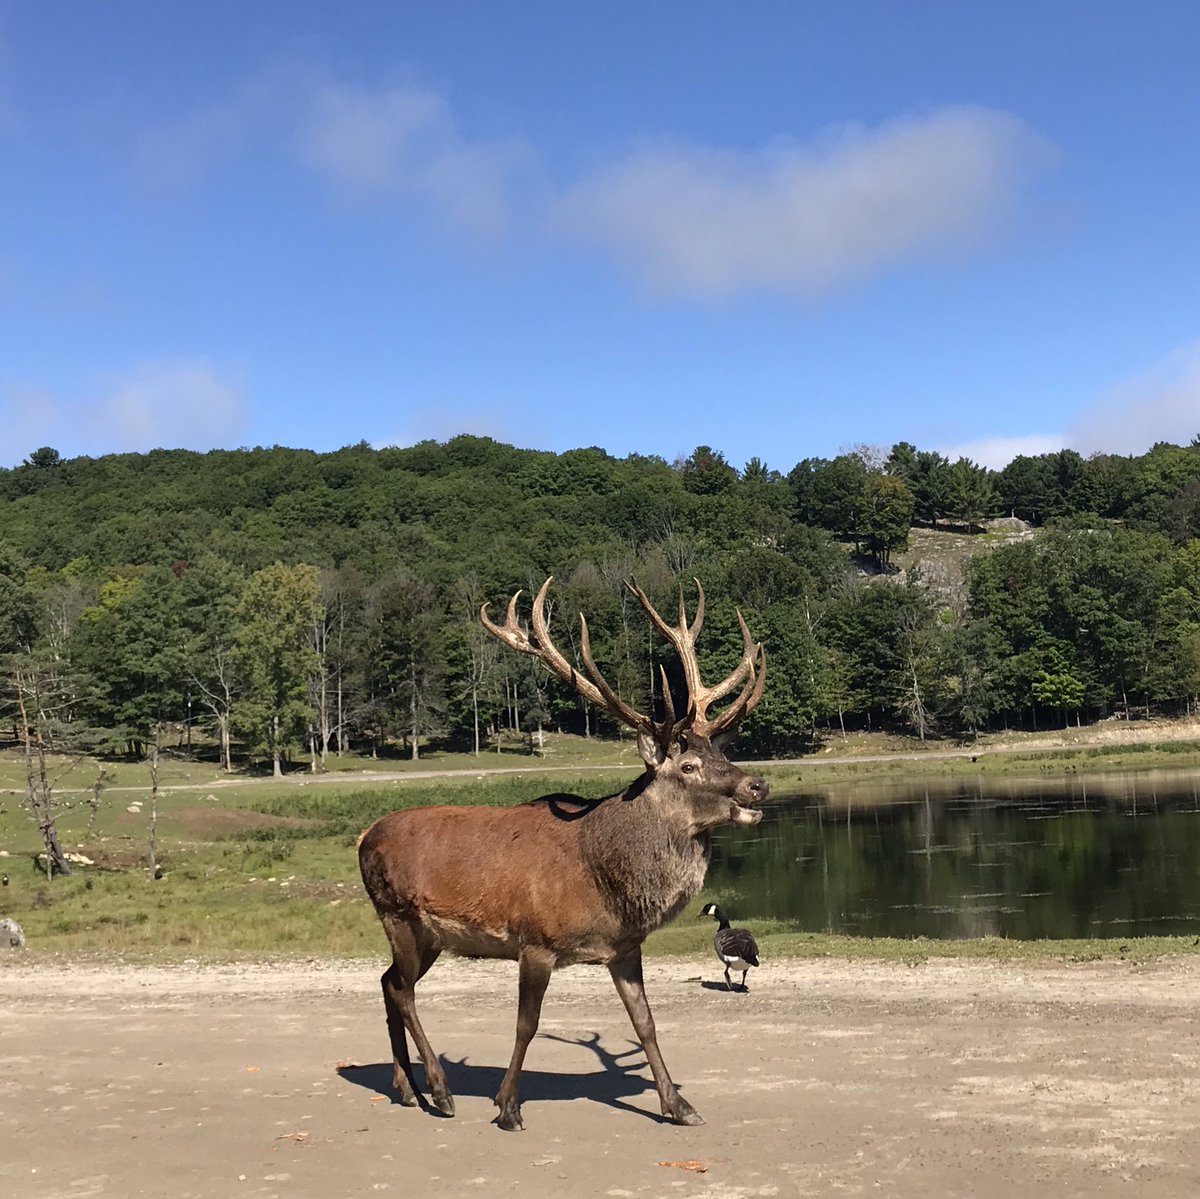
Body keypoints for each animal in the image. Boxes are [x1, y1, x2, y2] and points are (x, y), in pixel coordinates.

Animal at [357, 576, 768, 1131]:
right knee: (401, 988)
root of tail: (363, 838)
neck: (602, 880)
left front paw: (679, 1106)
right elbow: (526, 1025)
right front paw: (507, 1106)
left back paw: (406, 1088)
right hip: (397, 914)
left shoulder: (625, 948)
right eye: (688, 765)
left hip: (430, 937)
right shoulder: (535, 941)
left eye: (722, 751)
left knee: (386, 982)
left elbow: (646, 1022)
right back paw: (440, 1091)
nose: (758, 785)